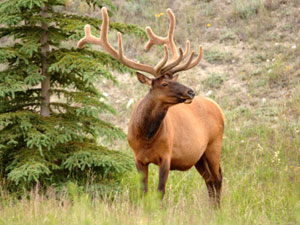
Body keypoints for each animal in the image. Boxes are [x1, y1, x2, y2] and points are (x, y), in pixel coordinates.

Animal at [77, 7, 223, 207]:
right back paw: (211, 209)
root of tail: (219, 108)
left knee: (217, 179)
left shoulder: (166, 156)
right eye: (165, 84)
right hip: (199, 156)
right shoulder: (138, 158)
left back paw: (218, 210)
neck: (146, 137)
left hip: (214, 145)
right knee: (209, 180)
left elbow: (160, 191)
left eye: (173, 79)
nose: (191, 92)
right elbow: (143, 191)